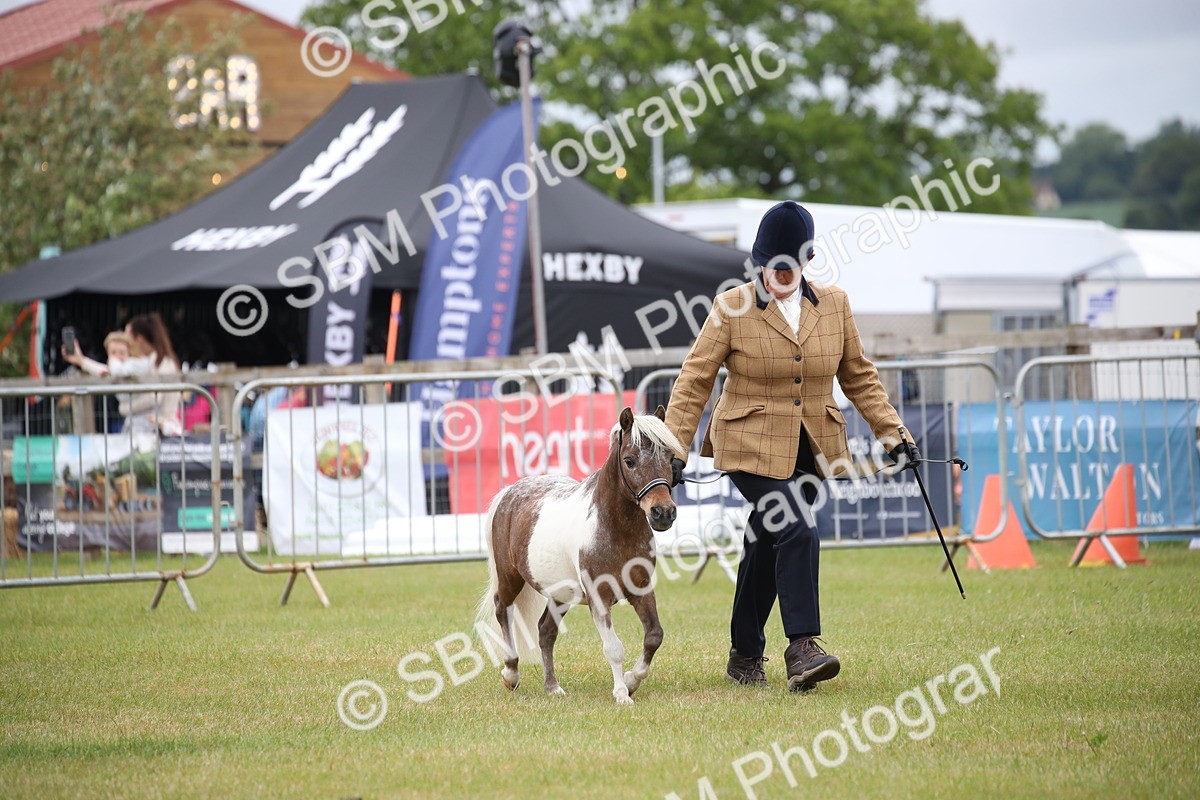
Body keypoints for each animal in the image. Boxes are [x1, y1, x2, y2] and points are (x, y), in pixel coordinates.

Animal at [477, 405, 682, 705]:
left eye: (669, 458)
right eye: (630, 461)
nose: (663, 513)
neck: (615, 530)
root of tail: (509, 492)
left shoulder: (641, 590)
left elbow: (654, 636)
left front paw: (632, 680)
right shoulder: (599, 597)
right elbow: (613, 647)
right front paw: (622, 694)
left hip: (561, 594)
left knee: (545, 632)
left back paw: (553, 687)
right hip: (510, 578)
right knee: (503, 610)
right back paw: (511, 673)